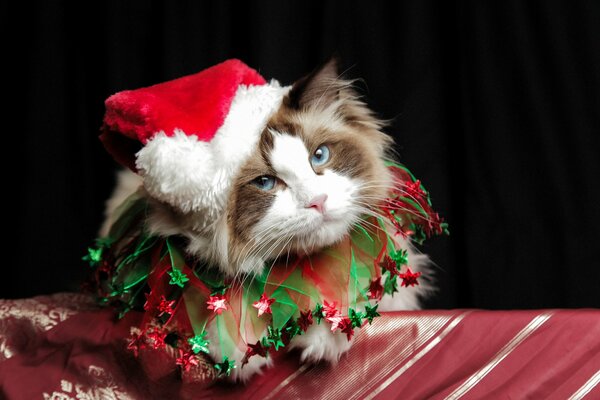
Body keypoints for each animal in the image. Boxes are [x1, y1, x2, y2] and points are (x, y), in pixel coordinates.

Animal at [102, 58, 432, 382]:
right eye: (265, 183)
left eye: (319, 156)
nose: (318, 200)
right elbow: (219, 305)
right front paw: (240, 352)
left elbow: (352, 292)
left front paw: (325, 334)